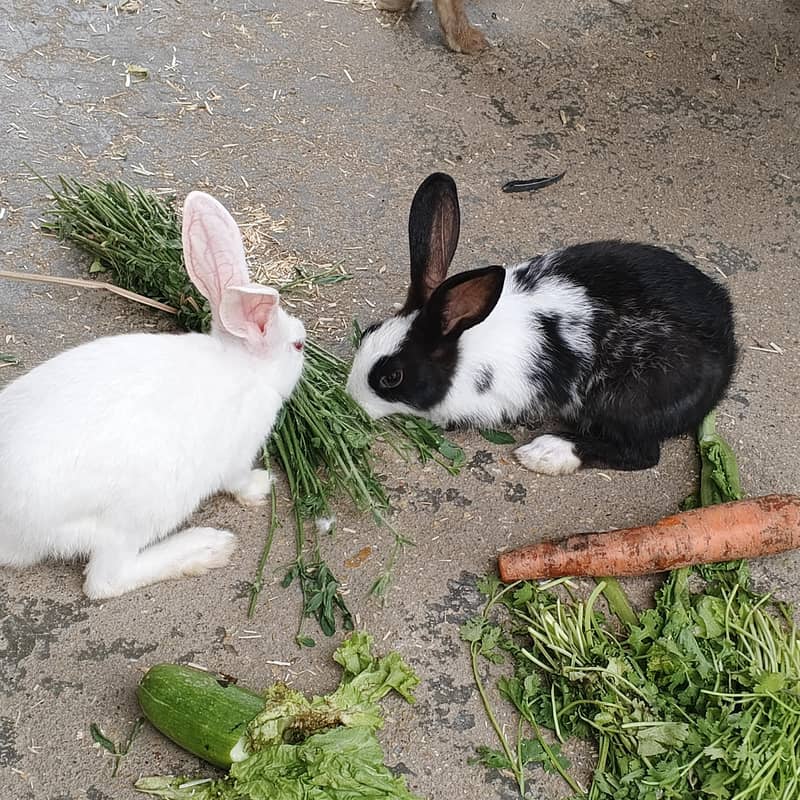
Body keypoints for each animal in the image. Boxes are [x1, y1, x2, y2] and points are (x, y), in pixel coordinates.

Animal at [0, 191, 306, 599]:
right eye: (298, 345)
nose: (305, 343)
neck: (242, 366)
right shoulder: (236, 456)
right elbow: (237, 480)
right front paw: (261, 486)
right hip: (138, 513)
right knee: (104, 580)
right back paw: (207, 547)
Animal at [346, 173, 737, 476]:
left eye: (392, 377)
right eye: (367, 333)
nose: (351, 402)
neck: (462, 347)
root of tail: (728, 354)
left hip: (623, 401)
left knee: (642, 455)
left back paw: (545, 453)